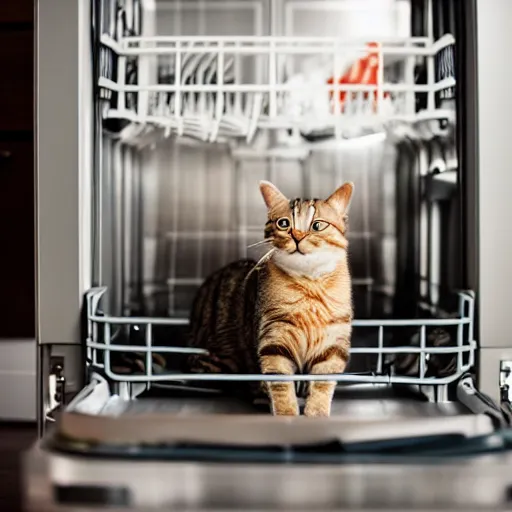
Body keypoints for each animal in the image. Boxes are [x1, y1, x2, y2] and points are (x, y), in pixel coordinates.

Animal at [186, 180, 354, 416]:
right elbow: (280, 384)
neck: (309, 284)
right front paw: (286, 413)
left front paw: (316, 412)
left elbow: (323, 382)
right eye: (284, 223)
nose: (297, 236)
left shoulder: (333, 341)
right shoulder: (275, 338)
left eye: (317, 226)